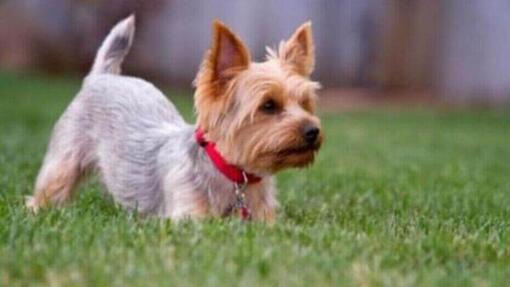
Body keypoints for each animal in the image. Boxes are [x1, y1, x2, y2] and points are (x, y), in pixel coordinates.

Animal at [25, 15, 322, 223]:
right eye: (268, 106)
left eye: (306, 104)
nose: (313, 130)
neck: (233, 174)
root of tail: (102, 76)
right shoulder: (187, 216)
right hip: (65, 159)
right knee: (51, 188)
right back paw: (38, 208)